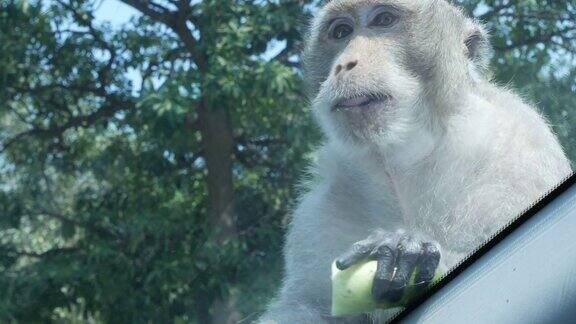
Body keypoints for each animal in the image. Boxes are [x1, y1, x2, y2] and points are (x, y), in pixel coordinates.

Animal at [258, 1, 572, 322]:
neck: (403, 162)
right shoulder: (320, 210)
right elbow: (303, 308)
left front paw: (408, 252)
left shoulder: (520, 153)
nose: (344, 64)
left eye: (384, 20)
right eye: (341, 32)